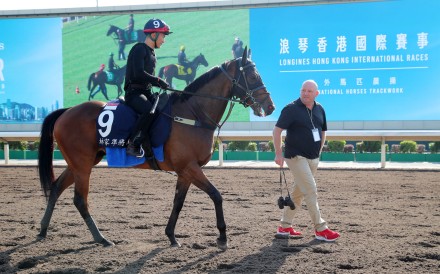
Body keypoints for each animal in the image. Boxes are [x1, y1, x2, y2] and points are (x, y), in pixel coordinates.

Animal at [37, 47, 276, 250]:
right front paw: (223, 238)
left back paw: (43, 231)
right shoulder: (190, 167)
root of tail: (67, 111)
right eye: (253, 76)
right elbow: (216, 195)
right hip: (82, 164)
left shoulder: (185, 171)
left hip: (81, 163)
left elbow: (178, 202)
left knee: (56, 188)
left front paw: (171, 236)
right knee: (79, 199)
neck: (192, 114)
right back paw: (101, 238)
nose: (270, 106)